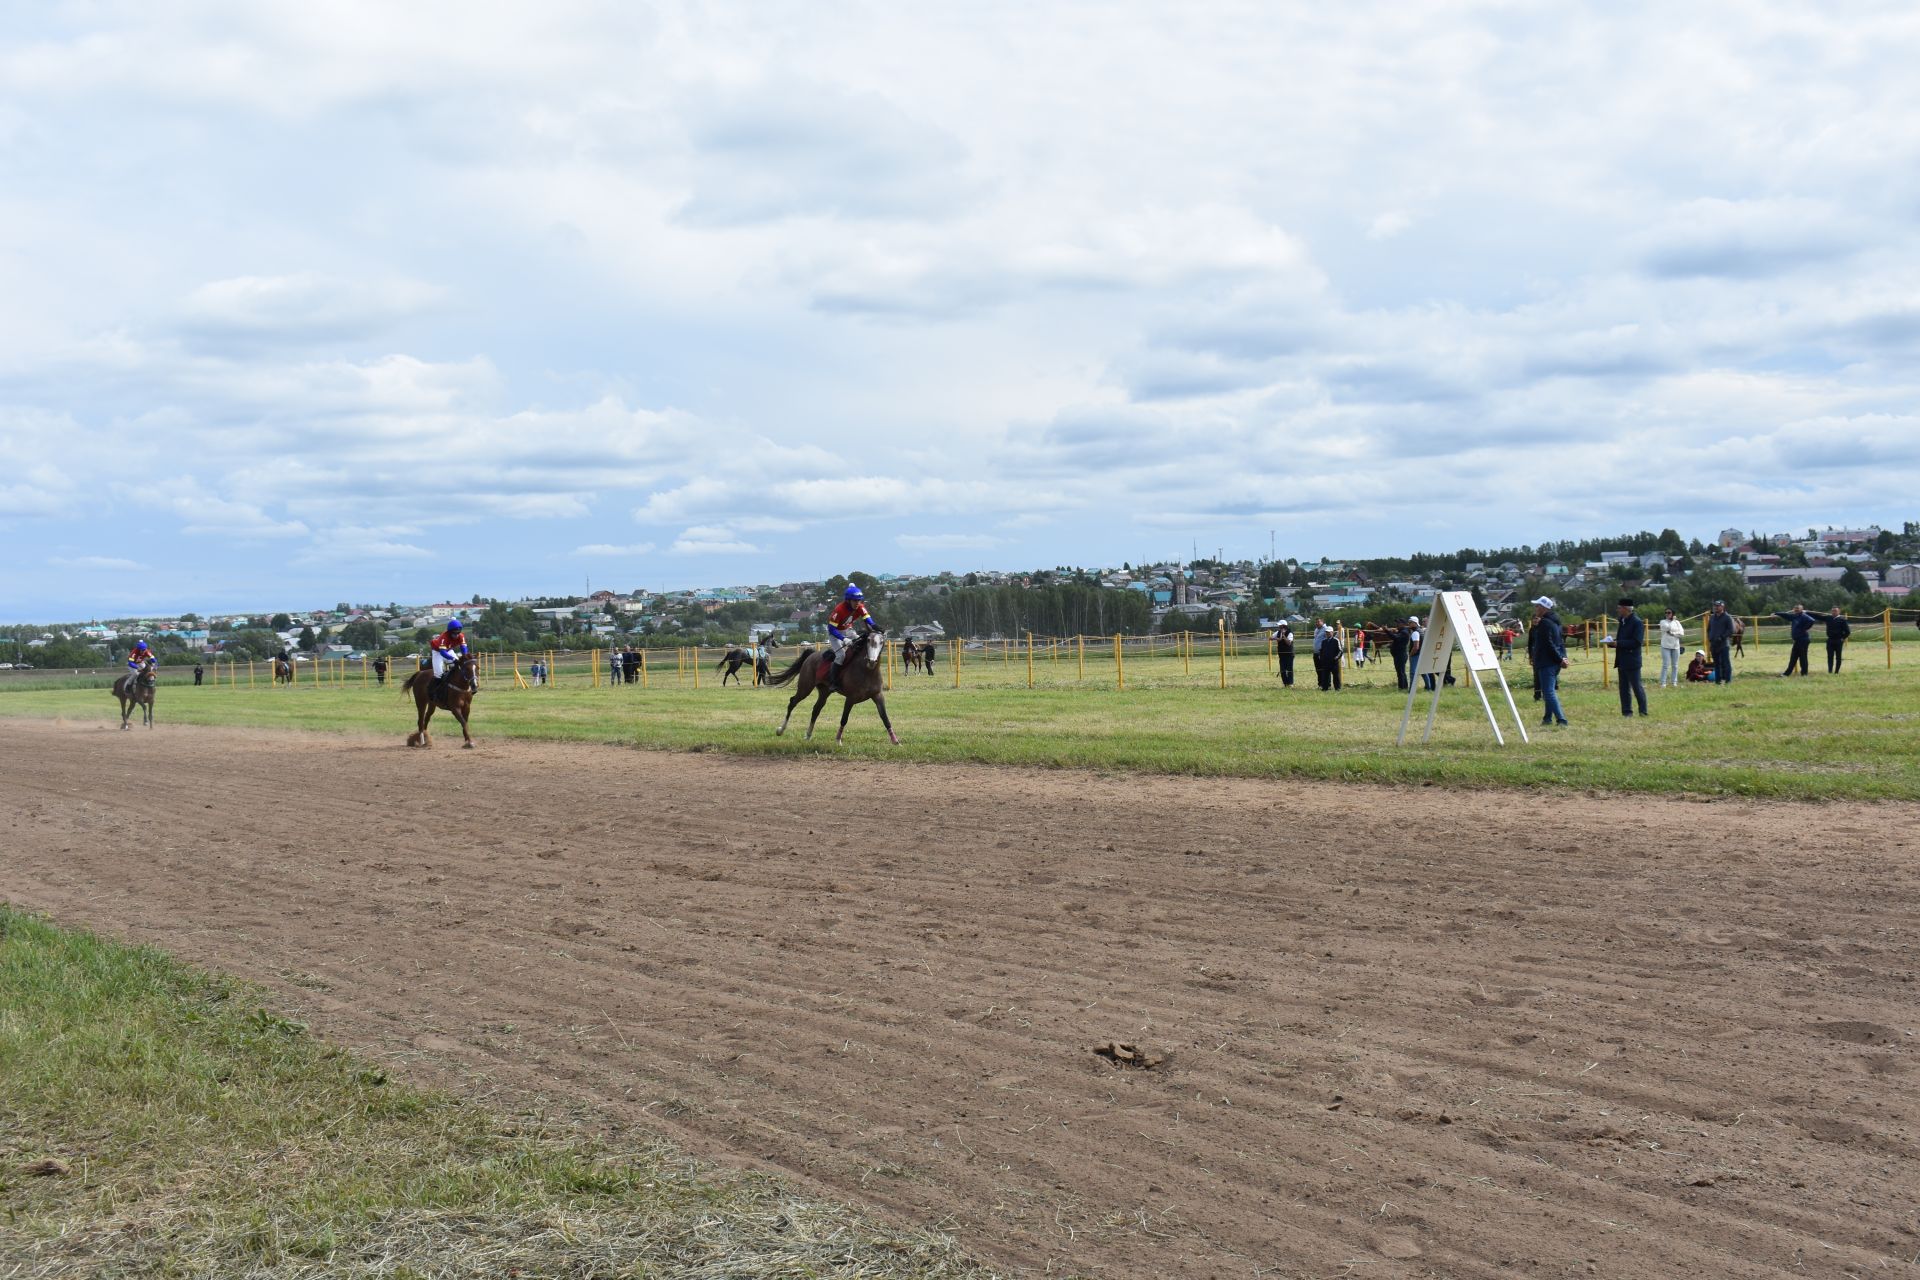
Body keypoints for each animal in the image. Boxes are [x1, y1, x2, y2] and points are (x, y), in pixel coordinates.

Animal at [764, 629, 898, 744]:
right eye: (868, 640)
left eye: (882, 642)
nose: (872, 661)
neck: (867, 671)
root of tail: (811, 655)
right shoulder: (850, 698)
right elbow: (844, 718)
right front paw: (838, 740)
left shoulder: (877, 696)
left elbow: (885, 718)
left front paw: (895, 740)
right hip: (805, 687)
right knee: (793, 702)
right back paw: (781, 730)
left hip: (824, 692)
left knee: (816, 710)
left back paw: (808, 735)